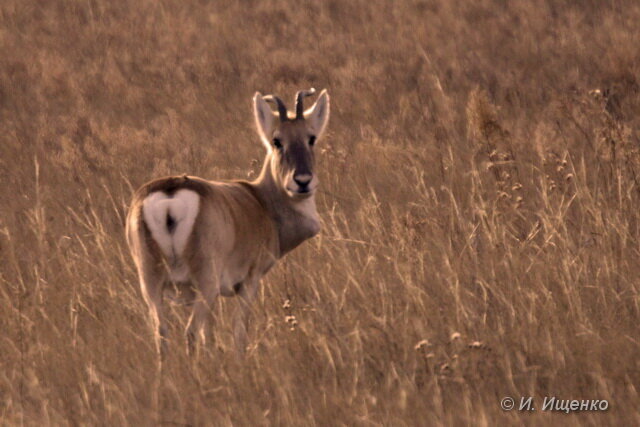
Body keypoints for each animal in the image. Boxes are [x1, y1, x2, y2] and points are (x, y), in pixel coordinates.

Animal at [125, 88, 330, 356]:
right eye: (277, 140)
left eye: (311, 137)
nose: (303, 181)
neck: (258, 200)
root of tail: (171, 193)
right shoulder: (248, 283)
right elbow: (238, 331)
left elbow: (209, 335)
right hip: (204, 284)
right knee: (190, 332)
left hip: (152, 286)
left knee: (162, 334)